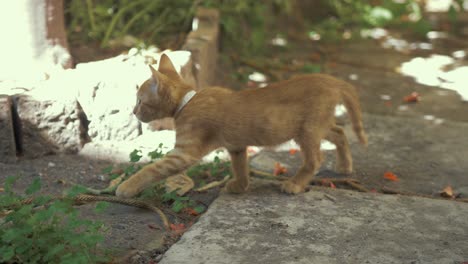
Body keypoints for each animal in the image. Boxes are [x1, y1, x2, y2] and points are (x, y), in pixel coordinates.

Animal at [115, 54, 368, 198]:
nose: (134, 112)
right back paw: (345, 166)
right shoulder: (236, 146)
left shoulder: (183, 153)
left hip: (308, 130)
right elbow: (240, 166)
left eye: (140, 101)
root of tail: (330, 80)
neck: (187, 102)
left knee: (315, 158)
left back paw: (295, 184)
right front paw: (240, 186)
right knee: (340, 132)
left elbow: (151, 169)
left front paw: (126, 187)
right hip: (318, 125)